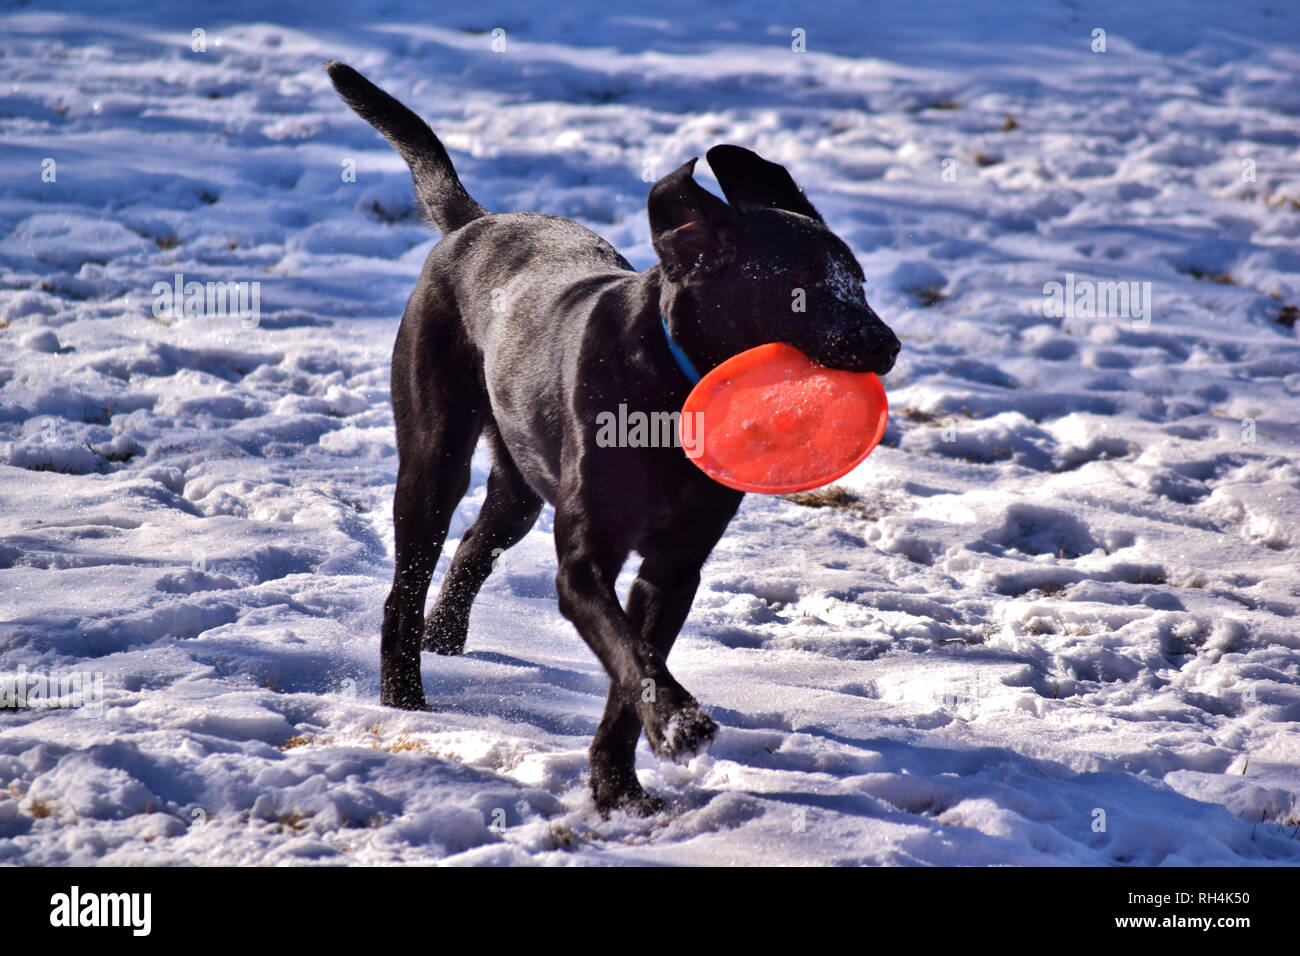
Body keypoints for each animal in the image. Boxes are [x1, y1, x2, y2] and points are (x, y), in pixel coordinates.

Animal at [327, 61, 894, 816]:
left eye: (856, 280)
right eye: (799, 287)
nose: (888, 344)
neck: (673, 389)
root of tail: (474, 225)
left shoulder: (674, 567)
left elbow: (634, 670)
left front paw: (617, 783)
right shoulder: (584, 561)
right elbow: (632, 654)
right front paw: (678, 723)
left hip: (518, 481)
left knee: (477, 543)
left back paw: (445, 636)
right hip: (433, 455)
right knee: (406, 581)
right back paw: (404, 699)